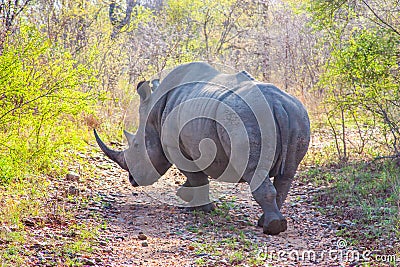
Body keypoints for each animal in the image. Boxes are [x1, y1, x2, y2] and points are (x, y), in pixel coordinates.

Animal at [94, 62, 312, 234]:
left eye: (136, 146)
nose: (132, 180)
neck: (152, 117)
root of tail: (277, 104)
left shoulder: (175, 147)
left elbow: (196, 177)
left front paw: (199, 209)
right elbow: (195, 177)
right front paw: (187, 198)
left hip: (247, 117)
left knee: (254, 170)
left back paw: (271, 228)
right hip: (297, 114)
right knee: (287, 174)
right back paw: (268, 222)